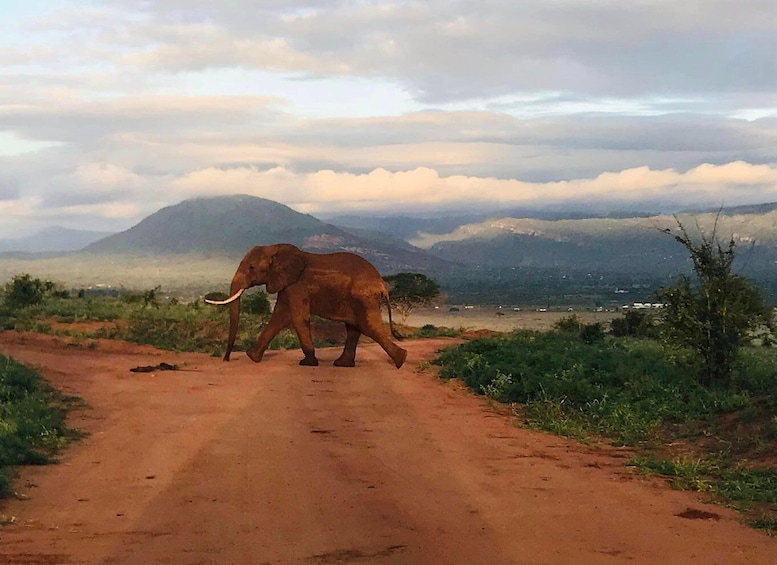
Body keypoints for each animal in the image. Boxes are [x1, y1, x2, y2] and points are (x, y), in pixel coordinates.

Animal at [206, 243, 406, 368]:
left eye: (252, 268)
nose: (226, 359)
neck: (275, 249)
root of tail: (381, 282)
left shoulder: (297, 285)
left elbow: (298, 317)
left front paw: (307, 362)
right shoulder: (286, 284)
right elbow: (279, 316)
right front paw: (252, 357)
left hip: (364, 297)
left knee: (368, 326)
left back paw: (401, 361)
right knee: (354, 329)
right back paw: (343, 364)